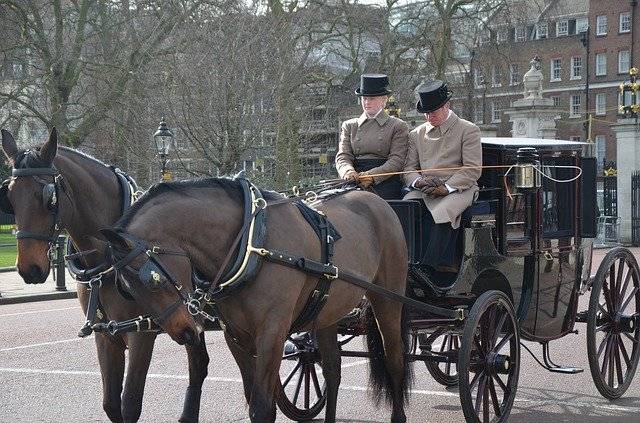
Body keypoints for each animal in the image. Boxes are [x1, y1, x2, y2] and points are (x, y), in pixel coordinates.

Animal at [0, 129, 209, 423]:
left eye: (49, 197)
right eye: (9, 195)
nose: (29, 268)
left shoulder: (142, 332)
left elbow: (130, 403)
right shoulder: (106, 334)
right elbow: (111, 404)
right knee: (199, 365)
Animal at [99, 177, 410, 422]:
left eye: (152, 279)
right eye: (126, 289)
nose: (186, 332)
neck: (253, 244)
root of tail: (377, 201)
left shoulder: (272, 334)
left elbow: (261, 408)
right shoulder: (236, 335)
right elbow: (253, 402)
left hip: (388, 299)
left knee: (395, 360)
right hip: (326, 312)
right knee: (333, 370)